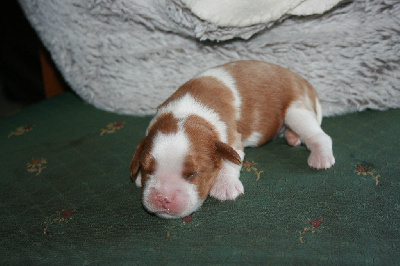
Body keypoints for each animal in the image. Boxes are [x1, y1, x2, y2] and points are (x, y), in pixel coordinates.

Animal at [130, 60, 334, 218]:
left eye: (192, 174)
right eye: (147, 169)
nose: (163, 198)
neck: (188, 112)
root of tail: (303, 80)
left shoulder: (231, 138)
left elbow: (230, 160)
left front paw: (225, 186)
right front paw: (139, 178)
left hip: (296, 111)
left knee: (320, 136)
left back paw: (320, 157)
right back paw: (292, 137)